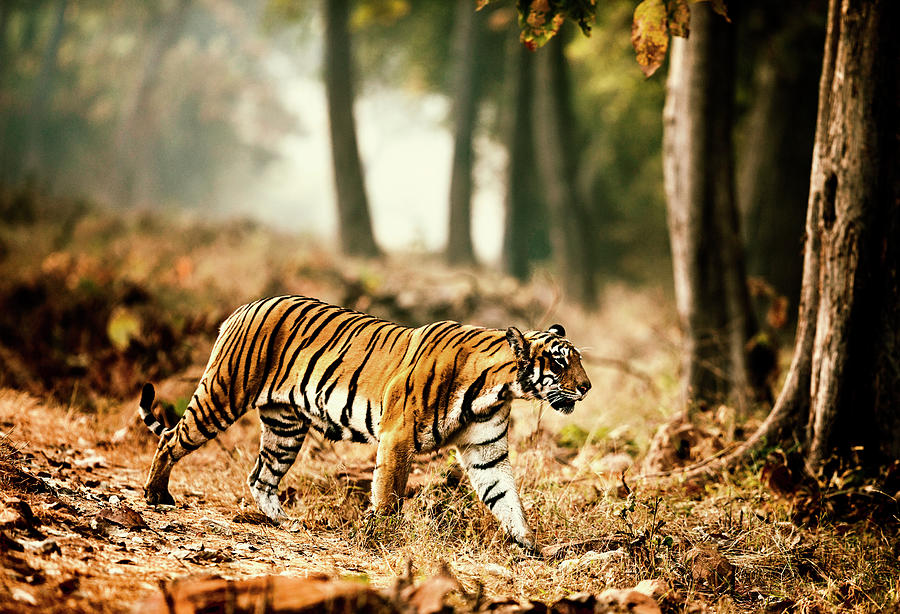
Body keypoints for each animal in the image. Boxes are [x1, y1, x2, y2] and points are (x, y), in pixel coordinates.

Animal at [137, 294, 592, 552]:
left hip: (285, 427)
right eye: (559, 362)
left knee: (260, 477)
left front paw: (530, 543)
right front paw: (383, 539)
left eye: (578, 360)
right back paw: (157, 495)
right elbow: (389, 493)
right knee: (172, 438)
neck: (496, 389)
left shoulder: (485, 450)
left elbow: (506, 497)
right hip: (223, 394)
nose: (586, 387)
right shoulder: (398, 435)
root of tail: (242, 308)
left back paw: (286, 522)